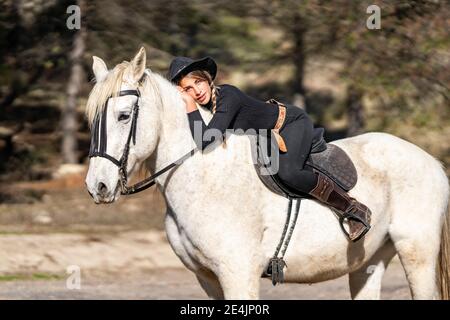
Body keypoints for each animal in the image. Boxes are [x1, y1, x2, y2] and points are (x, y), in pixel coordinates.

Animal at [84, 47, 450, 300]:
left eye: (124, 115)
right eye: (93, 119)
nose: (97, 186)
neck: (203, 175)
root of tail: (432, 162)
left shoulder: (238, 273)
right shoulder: (208, 278)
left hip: (416, 252)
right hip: (369, 262)